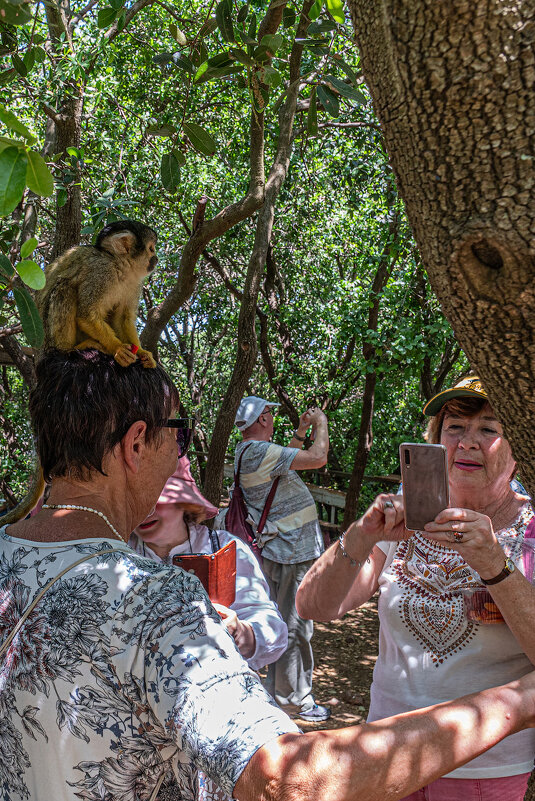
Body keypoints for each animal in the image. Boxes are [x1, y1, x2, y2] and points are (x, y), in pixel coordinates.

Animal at [37, 219, 158, 368]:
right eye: (151, 249)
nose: (156, 258)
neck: (119, 267)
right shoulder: (101, 271)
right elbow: (86, 315)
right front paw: (118, 348)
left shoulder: (135, 283)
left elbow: (123, 318)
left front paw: (141, 352)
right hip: (48, 338)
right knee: (65, 287)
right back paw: (69, 349)